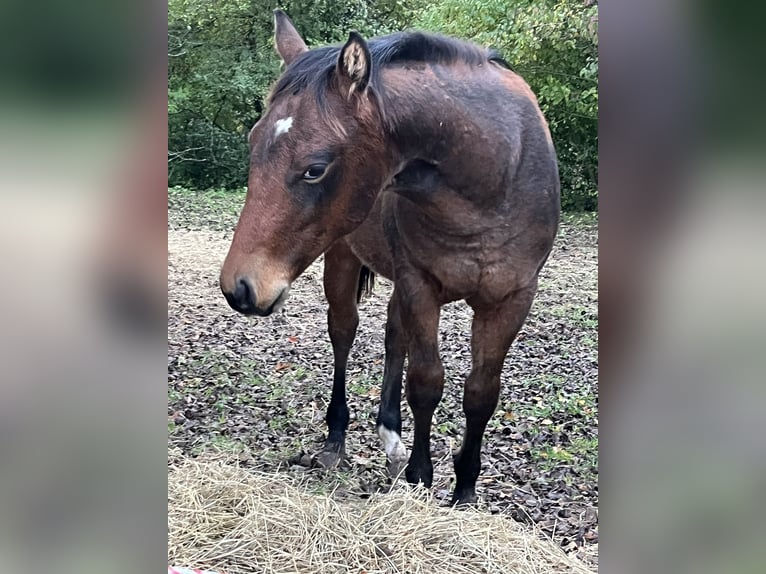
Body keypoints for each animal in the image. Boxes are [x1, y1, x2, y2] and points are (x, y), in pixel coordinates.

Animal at [219, 7, 560, 504]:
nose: (239, 288)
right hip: (343, 259)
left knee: (393, 335)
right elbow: (426, 381)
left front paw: (464, 489)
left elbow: (481, 393)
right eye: (253, 141)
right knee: (344, 331)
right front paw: (421, 475)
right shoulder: (420, 283)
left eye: (315, 169)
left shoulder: (511, 298)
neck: (489, 183)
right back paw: (337, 439)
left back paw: (390, 436)